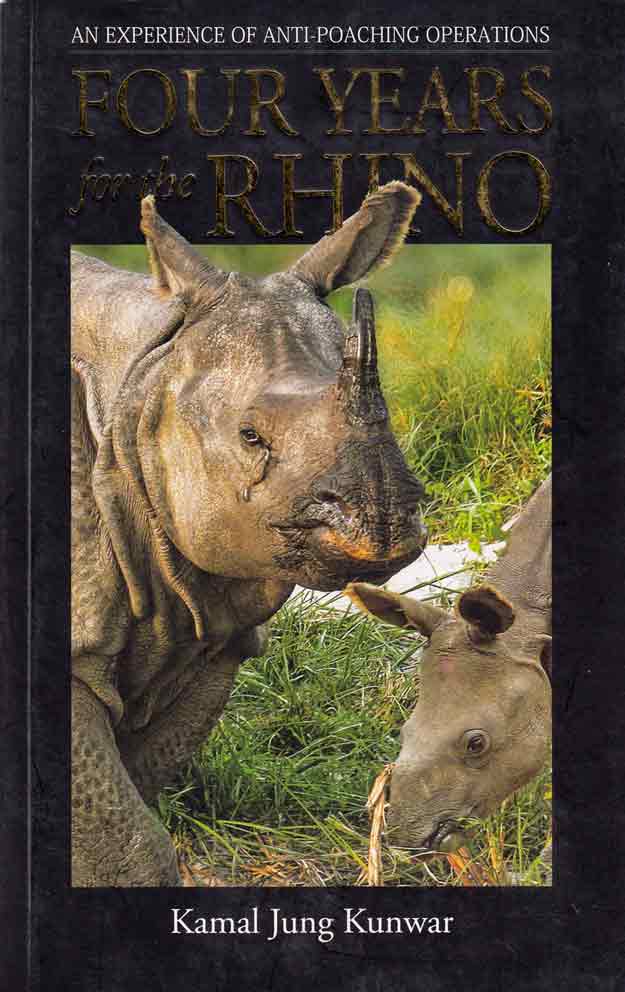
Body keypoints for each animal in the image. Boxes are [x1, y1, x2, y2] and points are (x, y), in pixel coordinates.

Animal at [71, 182, 428, 886]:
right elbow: (127, 841)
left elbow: (133, 799)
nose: (384, 525)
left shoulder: (211, 621)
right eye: (250, 436)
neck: (143, 384)